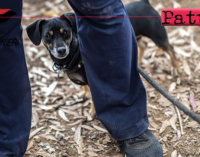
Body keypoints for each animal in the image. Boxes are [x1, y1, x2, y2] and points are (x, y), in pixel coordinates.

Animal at [26, 0, 180, 118]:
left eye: (66, 33)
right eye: (47, 36)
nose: (61, 50)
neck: (75, 53)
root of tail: (144, 2)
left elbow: (95, 99)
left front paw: (93, 112)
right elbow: (86, 88)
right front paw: (84, 93)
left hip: (158, 36)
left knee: (171, 49)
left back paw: (176, 68)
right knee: (142, 45)